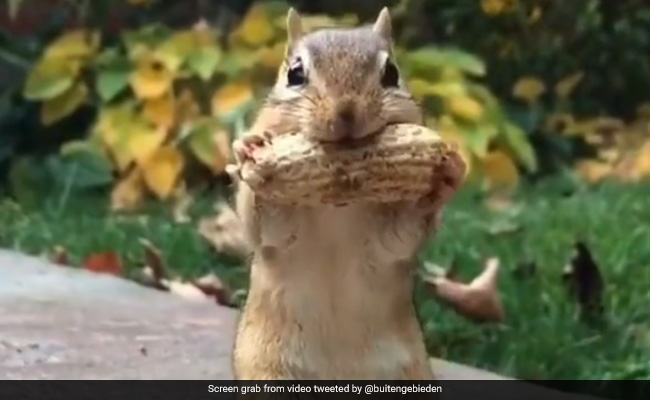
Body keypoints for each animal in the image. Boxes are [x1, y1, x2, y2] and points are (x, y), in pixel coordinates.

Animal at [229, 7, 461, 380]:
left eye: (392, 73)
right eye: (295, 74)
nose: (346, 112)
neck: (339, 201)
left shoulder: (385, 242)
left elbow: (402, 235)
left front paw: (449, 171)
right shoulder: (277, 237)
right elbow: (266, 226)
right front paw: (249, 149)